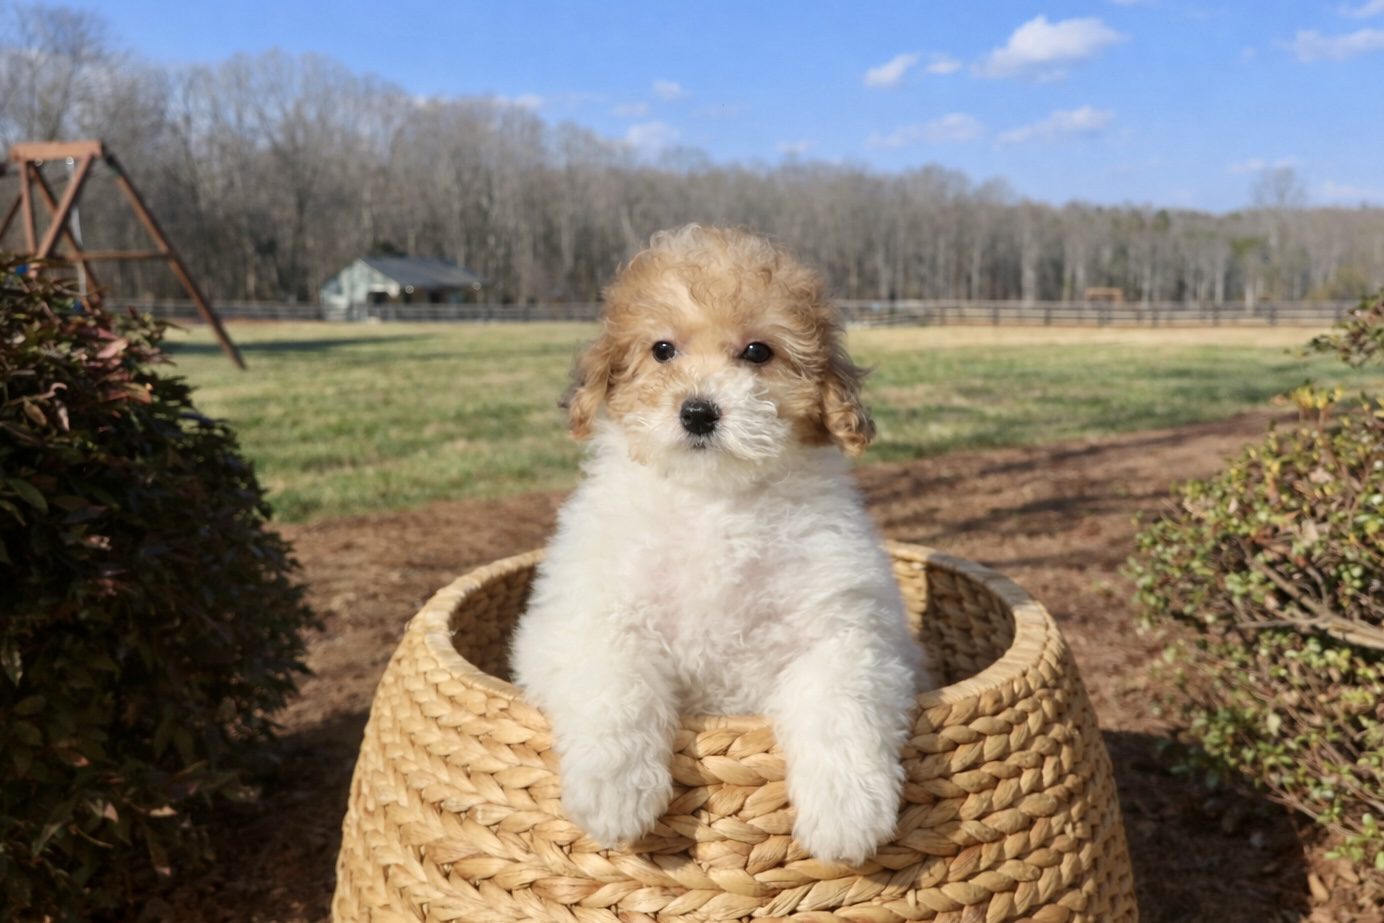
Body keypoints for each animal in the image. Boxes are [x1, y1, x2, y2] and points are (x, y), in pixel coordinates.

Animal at [510, 225, 931, 864]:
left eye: (757, 352)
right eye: (662, 350)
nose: (699, 413)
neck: (715, 505)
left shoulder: (847, 635)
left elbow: (840, 708)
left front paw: (847, 812)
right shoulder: (581, 620)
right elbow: (614, 680)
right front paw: (615, 794)